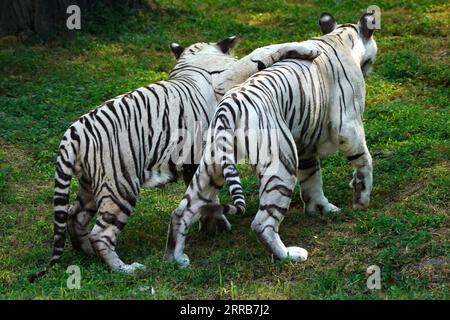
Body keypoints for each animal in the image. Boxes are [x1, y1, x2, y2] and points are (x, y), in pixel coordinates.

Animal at [165, 12, 376, 266]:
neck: (341, 37)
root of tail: (227, 109)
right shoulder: (348, 125)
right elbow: (364, 161)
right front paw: (361, 198)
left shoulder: (304, 144)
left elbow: (312, 179)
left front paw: (321, 208)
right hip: (281, 164)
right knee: (262, 223)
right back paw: (290, 255)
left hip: (209, 169)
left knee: (181, 212)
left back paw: (176, 259)